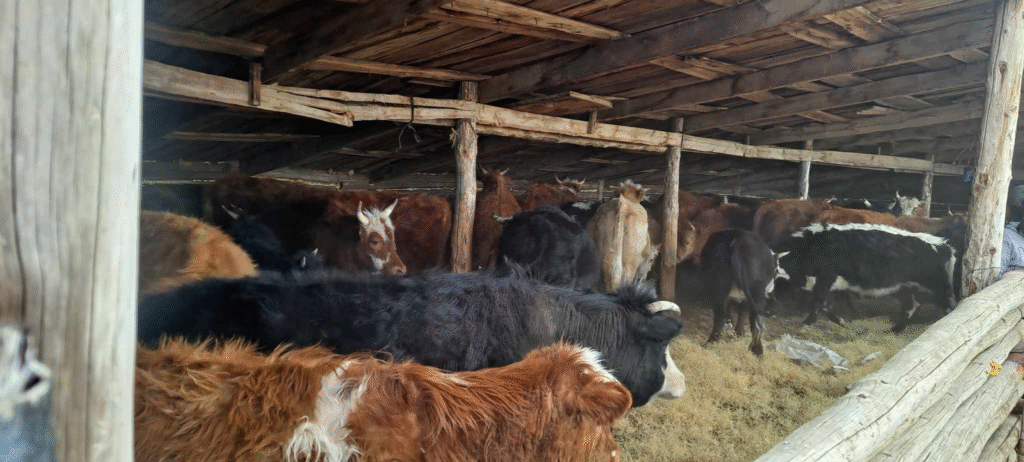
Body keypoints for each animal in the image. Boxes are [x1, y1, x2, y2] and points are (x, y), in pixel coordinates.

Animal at [774, 223, 958, 332]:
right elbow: (825, 305)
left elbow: (817, 304)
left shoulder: (825, 278)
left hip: (936, 285)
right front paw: (841, 322)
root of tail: (942, 245)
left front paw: (805, 324)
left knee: (948, 305)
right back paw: (894, 330)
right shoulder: (826, 284)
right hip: (905, 286)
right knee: (912, 305)